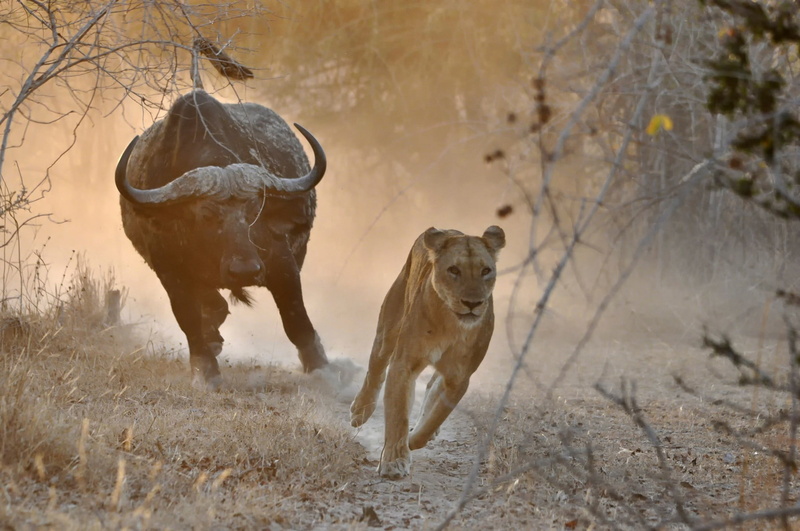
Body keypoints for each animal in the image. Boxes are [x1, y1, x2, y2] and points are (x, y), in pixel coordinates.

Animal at [115, 90, 329, 388]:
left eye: (254, 210)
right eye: (206, 214)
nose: (245, 270)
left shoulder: (281, 260)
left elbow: (295, 317)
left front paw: (322, 368)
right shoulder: (168, 268)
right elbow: (189, 316)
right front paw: (206, 369)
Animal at [350, 225, 506, 479]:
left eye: (486, 271)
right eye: (454, 270)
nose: (472, 303)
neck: (451, 322)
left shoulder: (458, 377)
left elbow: (437, 414)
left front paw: (414, 439)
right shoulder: (404, 364)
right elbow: (398, 415)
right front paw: (394, 461)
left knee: (431, 388)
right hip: (389, 327)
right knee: (376, 368)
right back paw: (360, 411)